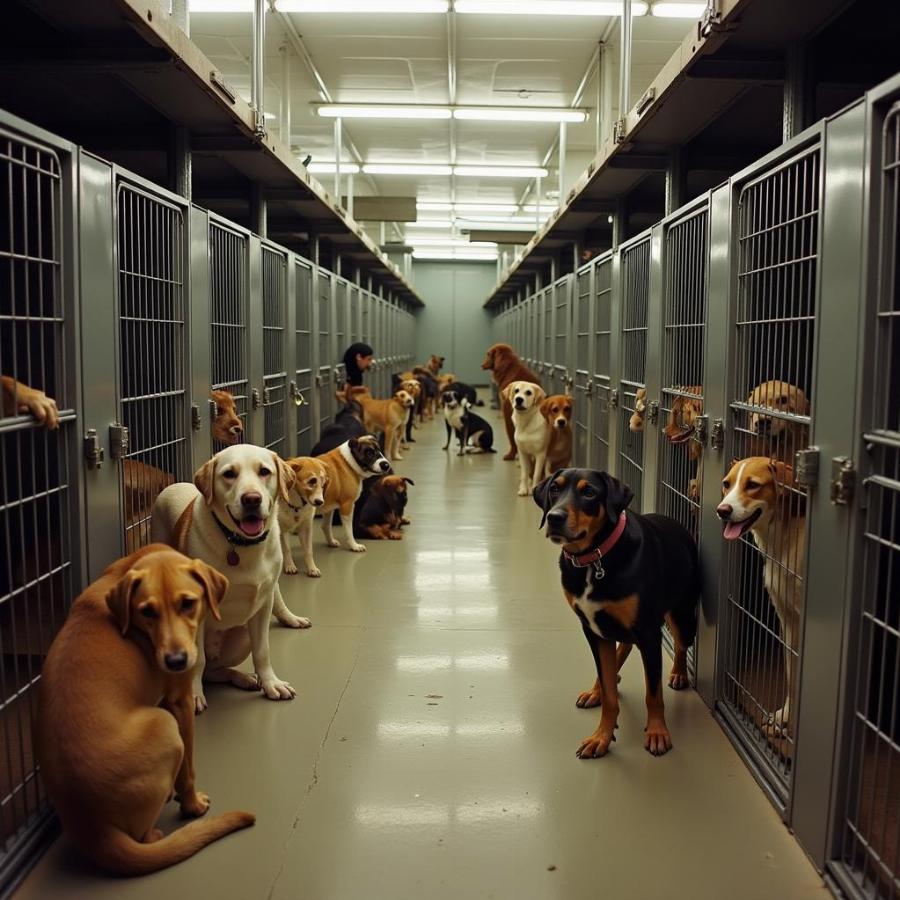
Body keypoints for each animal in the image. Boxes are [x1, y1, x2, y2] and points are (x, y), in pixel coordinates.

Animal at [35, 544, 253, 876]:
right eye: (147, 611)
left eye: (188, 603)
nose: (176, 661)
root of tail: (91, 828)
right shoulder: (179, 699)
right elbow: (188, 769)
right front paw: (192, 804)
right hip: (165, 725)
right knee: (145, 837)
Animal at [151, 442, 310, 712]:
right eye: (229, 474)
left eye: (264, 471)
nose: (251, 499)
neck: (239, 545)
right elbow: (197, 661)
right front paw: (193, 695)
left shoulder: (263, 605)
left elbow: (262, 651)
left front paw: (270, 683)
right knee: (202, 666)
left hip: (242, 635)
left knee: (214, 670)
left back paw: (244, 678)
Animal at [532, 472, 700, 760]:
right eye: (554, 489)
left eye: (589, 492)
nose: (554, 517)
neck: (595, 559)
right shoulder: (592, 629)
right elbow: (610, 693)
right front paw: (600, 736)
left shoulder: (648, 632)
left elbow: (653, 693)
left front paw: (657, 733)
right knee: (619, 652)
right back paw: (596, 689)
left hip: (682, 616)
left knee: (680, 644)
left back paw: (679, 673)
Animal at [716, 458, 808, 740]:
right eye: (727, 484)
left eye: (753, 485)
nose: (722, 511)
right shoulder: (788, 620)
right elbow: (791, 676)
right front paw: (785, 718)